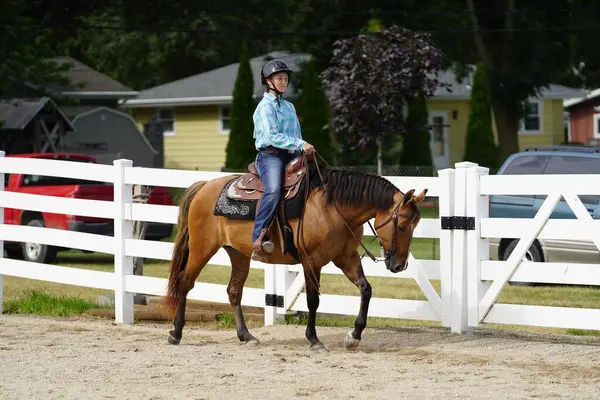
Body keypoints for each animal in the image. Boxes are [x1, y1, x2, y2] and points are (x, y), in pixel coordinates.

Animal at [164, 161, 426, 352]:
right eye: (402, 223)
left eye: (416, 224)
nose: (399, 265)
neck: (333, 207)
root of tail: (204, 186)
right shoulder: (312, 261)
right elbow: (313, 300)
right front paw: (314, 340)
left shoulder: (346, 257)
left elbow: (366, 289)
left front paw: (354, 336)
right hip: (201, 248)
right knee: (185, 282)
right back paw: (176, 333)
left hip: (238, 254)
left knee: (234, 291)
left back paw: (246, 336)